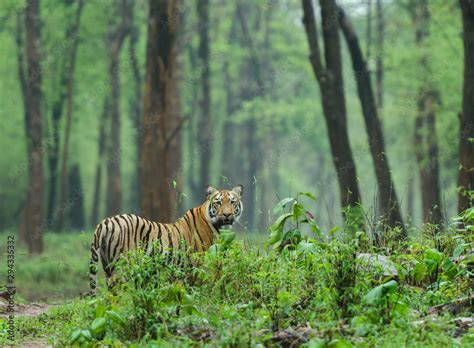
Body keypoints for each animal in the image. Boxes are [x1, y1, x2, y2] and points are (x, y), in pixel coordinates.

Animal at [89, 185, 244, 294]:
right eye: (218, 203)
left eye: (232, 202)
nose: (227, 215)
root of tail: (105, 222)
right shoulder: (196, 267)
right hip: (123, 269)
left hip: (108, 268)